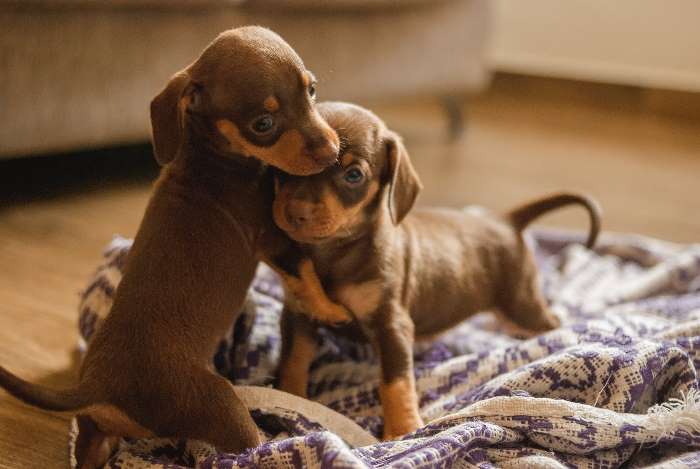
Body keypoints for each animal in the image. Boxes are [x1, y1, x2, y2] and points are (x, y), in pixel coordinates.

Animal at [0, 26, 344, 468]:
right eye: (263, 124)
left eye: (312, 90)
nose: (332, 152)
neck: (213, 155)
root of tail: (99, 385)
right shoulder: (271, 239)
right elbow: (305, 272)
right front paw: (330, 309)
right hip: (217, 402)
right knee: (251, 445)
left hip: (100, 429)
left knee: (92, 448)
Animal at [272, 100, 600, 440]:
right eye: (283, 166)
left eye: (353, 175)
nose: (296, 213)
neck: (334, 252)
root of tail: (505, 221)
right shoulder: (298, 313)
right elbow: (293, 361)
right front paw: (289, 402)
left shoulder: (392, 325)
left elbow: (396, 383)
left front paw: (401, 431)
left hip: (521, 303)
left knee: (551, 322)